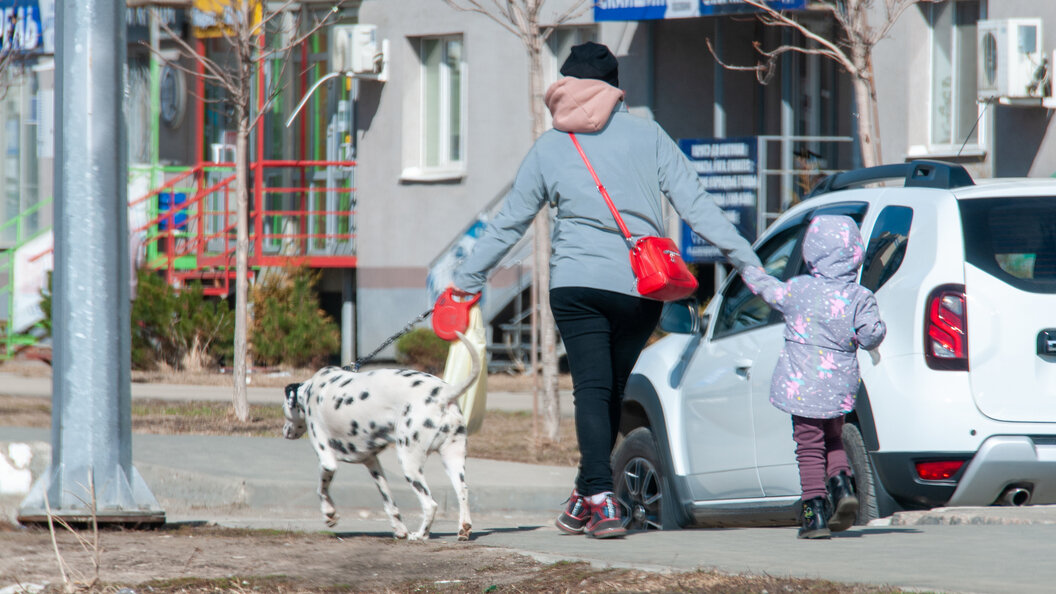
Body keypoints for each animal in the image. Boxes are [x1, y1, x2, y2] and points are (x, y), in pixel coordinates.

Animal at [280, 329, 479, 539]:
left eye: (284, 408)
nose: (285, 431)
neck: (312, 390)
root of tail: (444, 393)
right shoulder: (373, 464)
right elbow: (389, 502)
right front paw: (399, 529)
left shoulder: (327, 462)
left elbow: (321, 490)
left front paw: (330, 514)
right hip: (453, 461)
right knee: (463, 492)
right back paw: (463, 528)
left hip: (409, 464)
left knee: (430, 504)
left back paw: (420, 535)